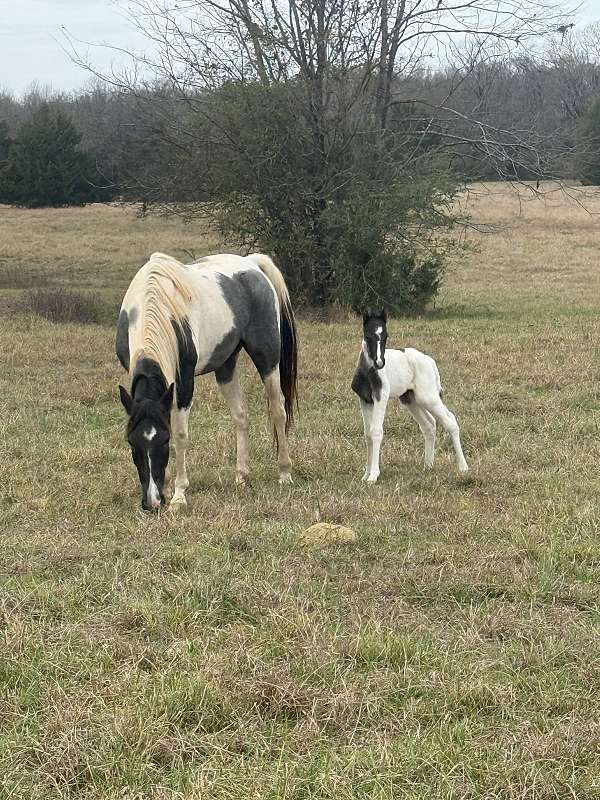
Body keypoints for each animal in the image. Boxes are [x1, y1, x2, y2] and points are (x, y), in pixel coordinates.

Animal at [116, 252, 297, 510]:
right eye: (131, 442)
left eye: (164, 440)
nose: (151, 502)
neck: (153, 302)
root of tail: (251, 264)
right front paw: (167, 488)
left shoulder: (184, 382)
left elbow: (181, 434)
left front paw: (179, 495)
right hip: (226, 366)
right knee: (241, 415)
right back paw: (241, 477)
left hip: (268, 359)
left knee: (278, 411)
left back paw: (284, 473)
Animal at [351, 310, 469, 482]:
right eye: (367, 335)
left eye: (386, 335)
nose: (380, 363)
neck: (368, 371)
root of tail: (429, 360)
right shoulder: (365, 400)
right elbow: (367, 434)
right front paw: (365, 474)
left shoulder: (381, 397)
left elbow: (376, 431)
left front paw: (373, 475)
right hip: (410, 399)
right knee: (429, 424)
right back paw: (428, 465)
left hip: (428, 397)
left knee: (450, 421)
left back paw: (463, 467)